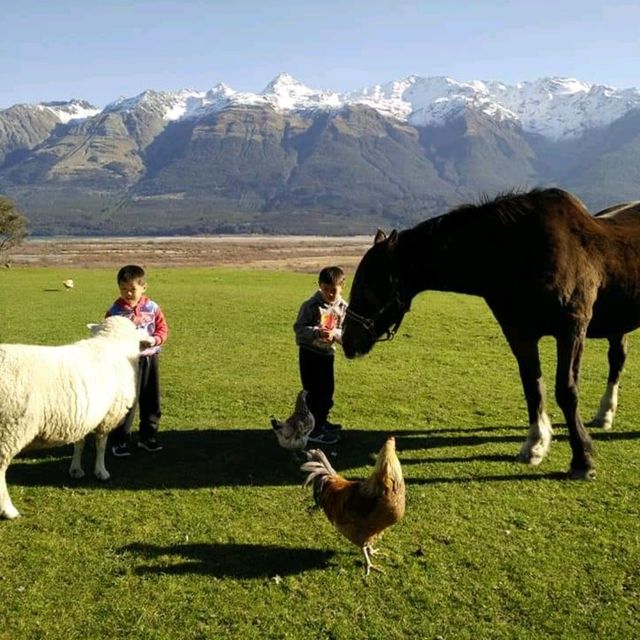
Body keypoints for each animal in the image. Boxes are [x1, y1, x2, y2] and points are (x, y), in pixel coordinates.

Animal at [0, 316, 141, 520]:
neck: (111, 344)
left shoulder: (81, 417)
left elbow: (79, 444)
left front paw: (76, 470)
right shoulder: (108, 416)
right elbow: (101, 445)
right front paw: (101, 472)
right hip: (9, 429)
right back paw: (8, 510)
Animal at [344, 188, 640, 478]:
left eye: (369, 284)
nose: (347, 340)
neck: (524, 250)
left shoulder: (571, 330)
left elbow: (566, 391)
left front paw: (583, 459)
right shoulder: (519, 334)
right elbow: (532, 386)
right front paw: (535, 444)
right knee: (617, 359)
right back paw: (604, 414)